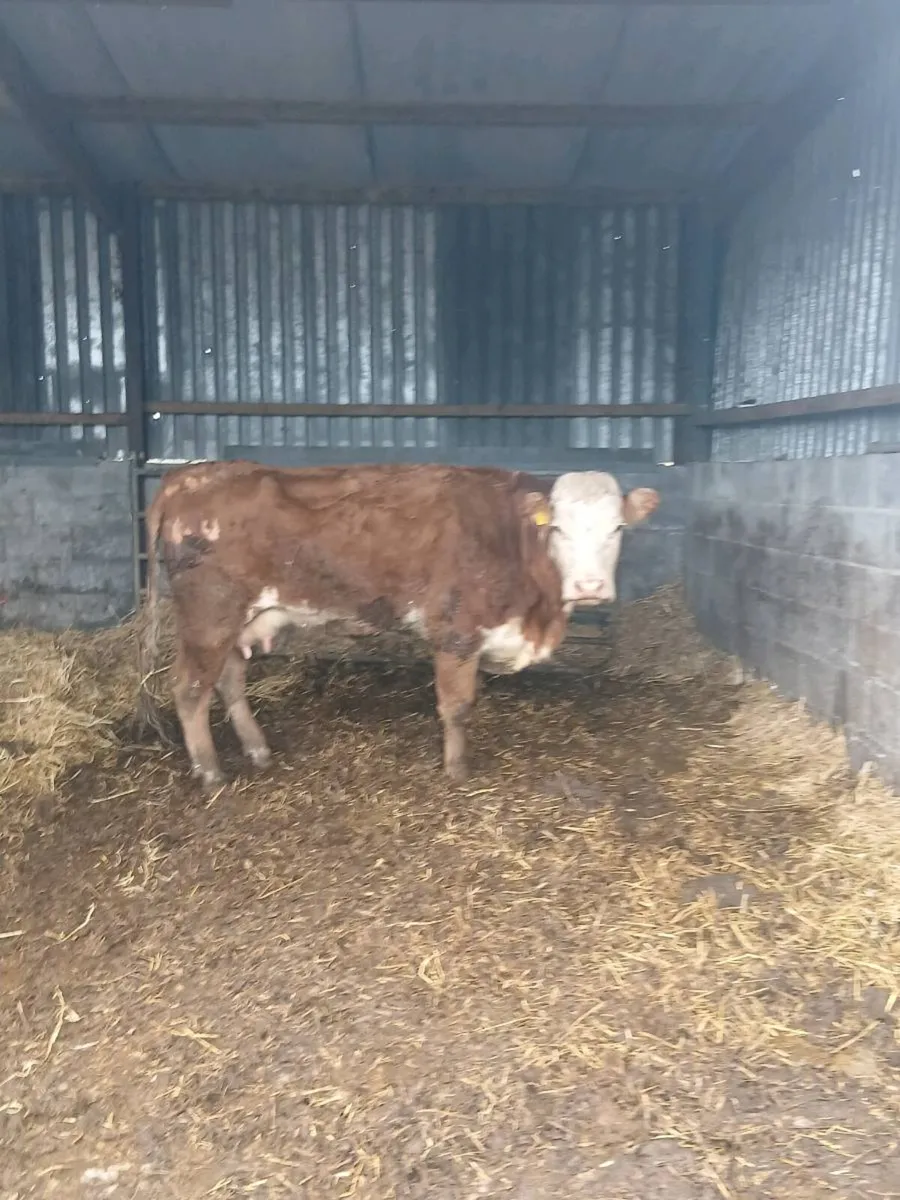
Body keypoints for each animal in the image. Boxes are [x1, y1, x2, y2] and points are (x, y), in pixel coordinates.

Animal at [138, 461, 659, 787]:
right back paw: (210, 772)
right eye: (558, 528)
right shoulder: (456, 631)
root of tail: (190, 475)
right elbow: (457, 706)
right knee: (189, 689)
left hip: (236, 620)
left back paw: (257, 749)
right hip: (209, 616)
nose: (590, 586)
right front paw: (457, 769)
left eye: (617, 528)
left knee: (228, 680)